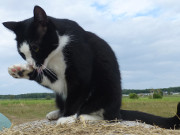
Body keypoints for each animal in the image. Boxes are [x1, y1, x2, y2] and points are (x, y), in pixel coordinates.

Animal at [2, 5, 180, 129]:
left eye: (36, 48)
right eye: (22, 53)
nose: (31, 63)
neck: (57, 52)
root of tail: (118, 107)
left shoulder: (80, 72)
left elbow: (76, 95)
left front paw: (67, 117)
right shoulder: (56, 76)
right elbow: (51, 81)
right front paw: (20, 71)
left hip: (108, 89)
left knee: (112, 117)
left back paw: (85, 117)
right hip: (62, 96)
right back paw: (56, 113)